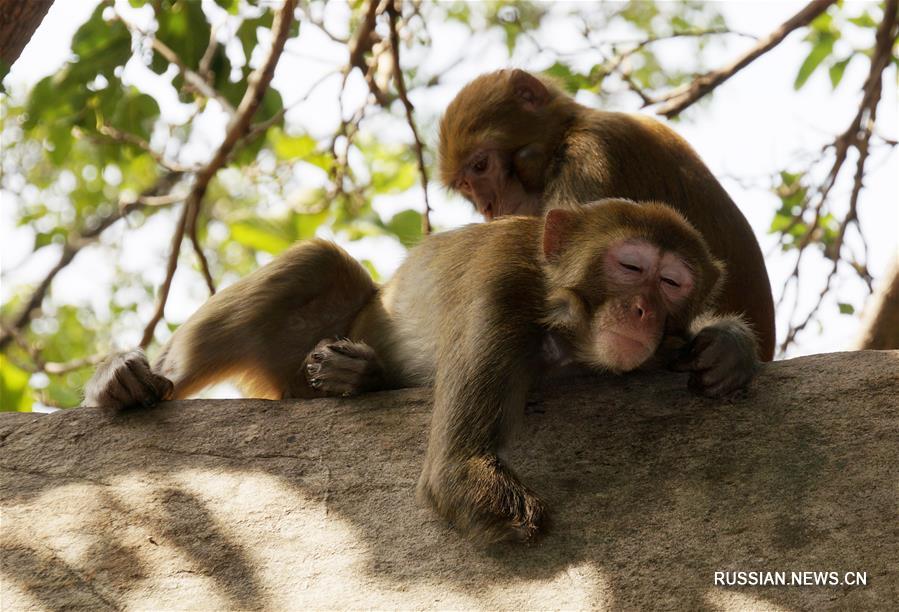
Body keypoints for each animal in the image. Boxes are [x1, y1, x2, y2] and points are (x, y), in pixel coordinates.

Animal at [86, 201, 752, 544]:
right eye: (631, 266)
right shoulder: (499, 287)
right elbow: (457, 473)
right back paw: (128, 380)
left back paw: (360, 375)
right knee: (316, 262)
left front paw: (726, 349)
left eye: (672, 284)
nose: (643, 311)